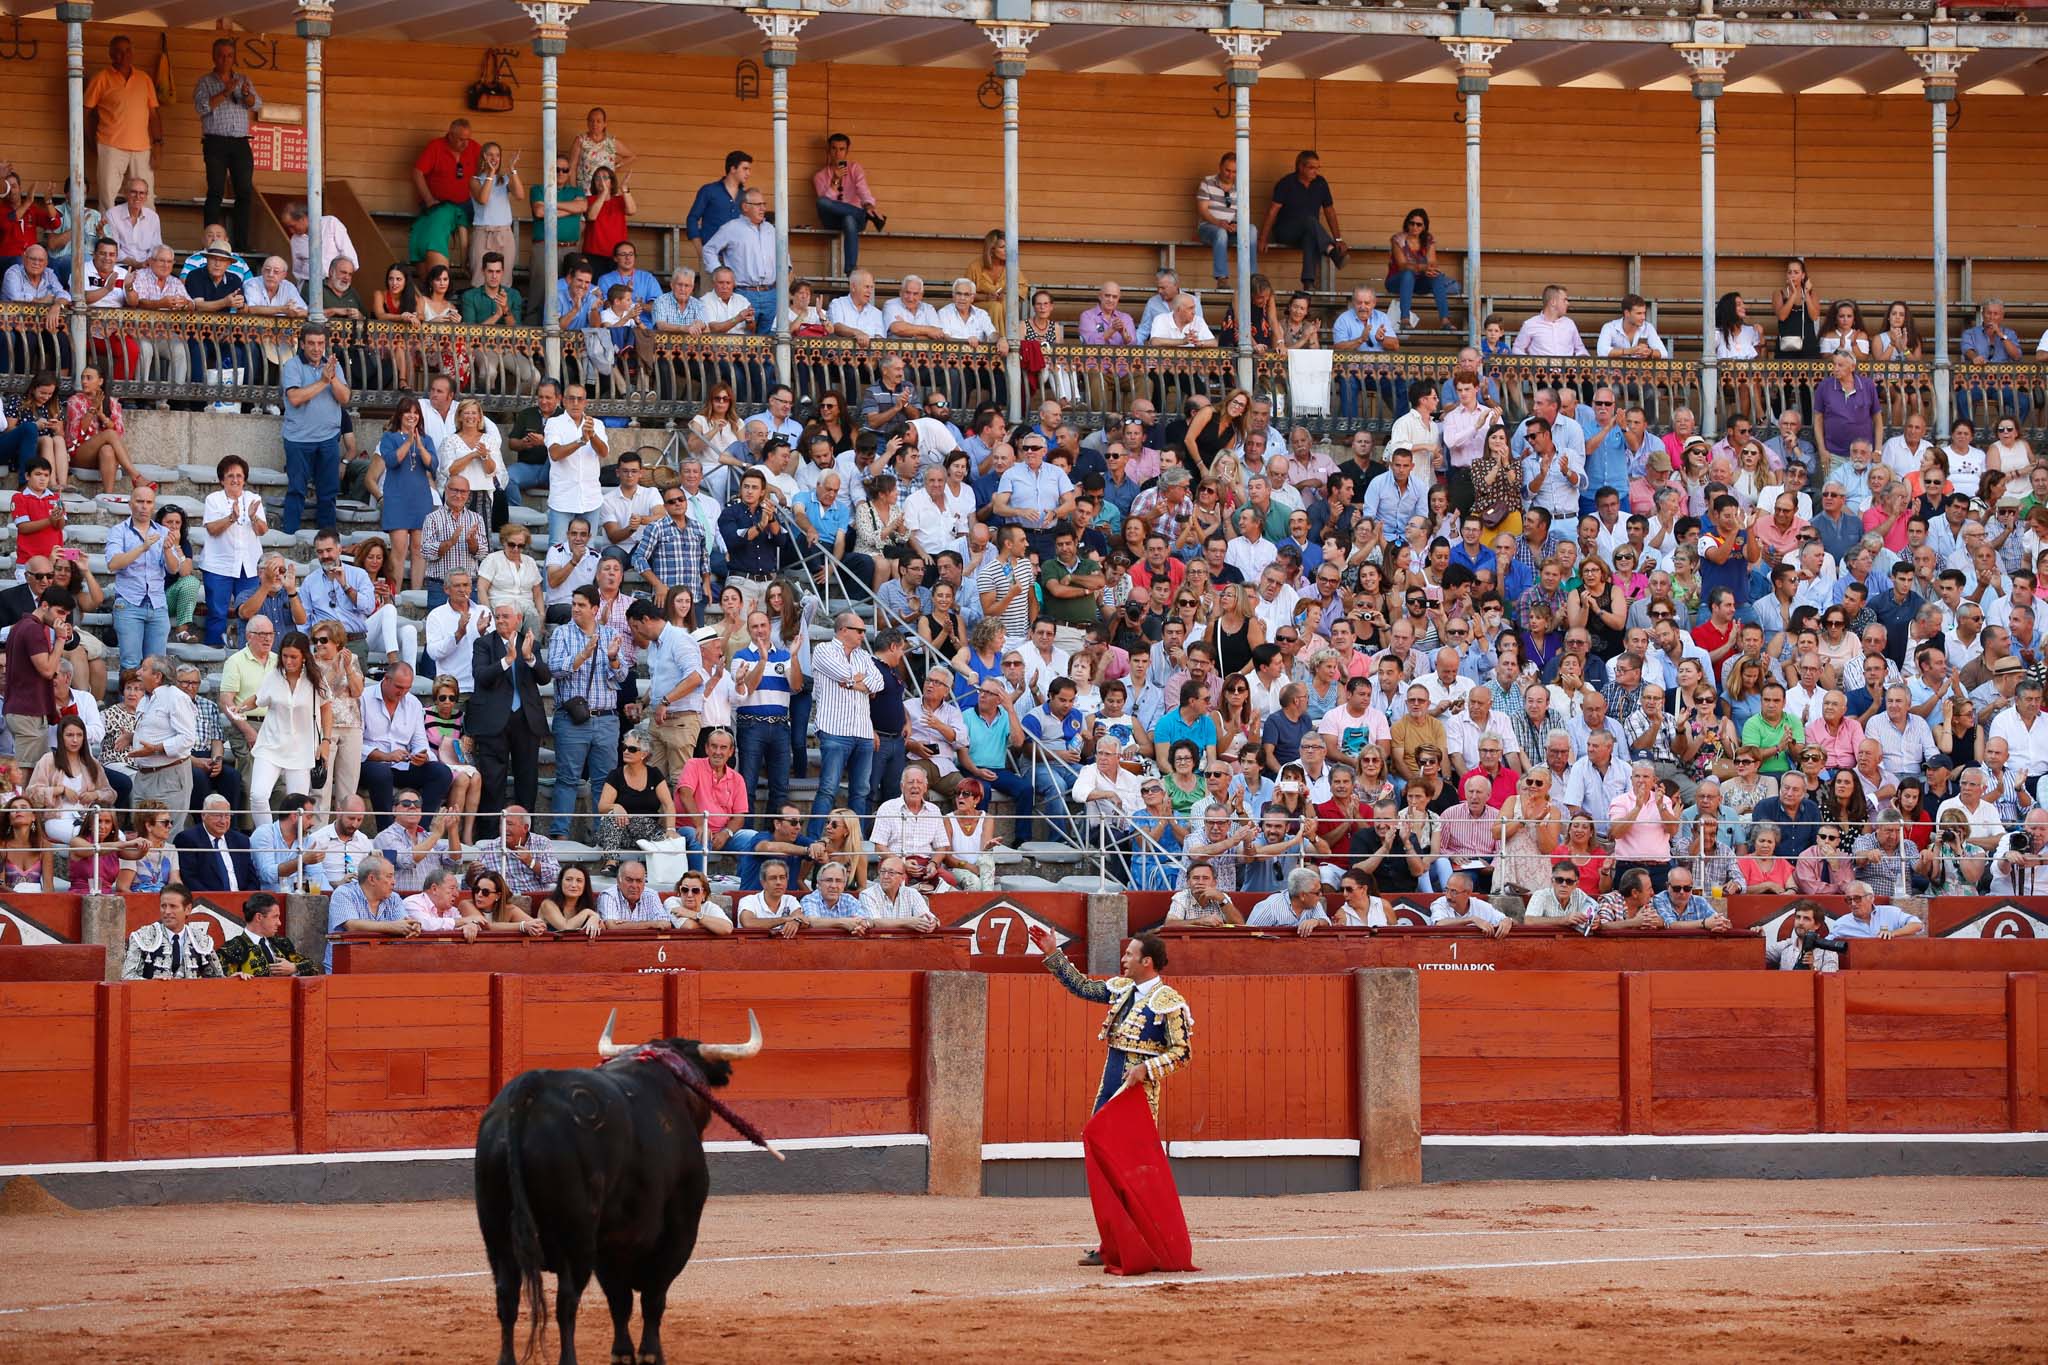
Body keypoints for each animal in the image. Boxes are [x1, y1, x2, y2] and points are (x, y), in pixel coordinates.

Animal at [475, 1002, 778, 1365]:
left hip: (496, 1233)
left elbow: (619, 1300)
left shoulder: (609, 1244)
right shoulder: (678, 1231)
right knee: (567, 1301)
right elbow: (652, 1297)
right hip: (576, 1236)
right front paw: (650, 1353)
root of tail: (528, 1092)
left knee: (506, 1297)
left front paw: (622, 1353)